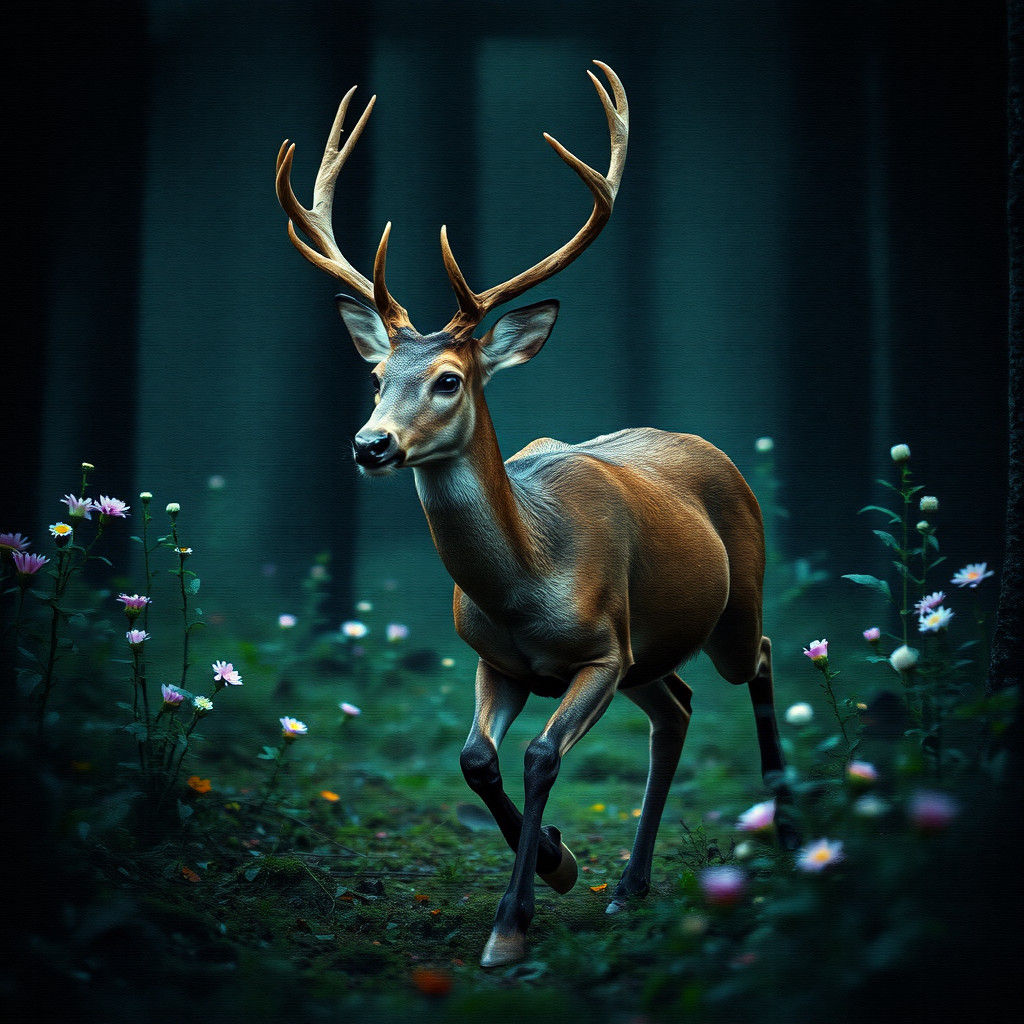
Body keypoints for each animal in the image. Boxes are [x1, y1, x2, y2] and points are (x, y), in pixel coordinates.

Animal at [275, 61, 798, 968]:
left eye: (449, 379)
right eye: (376, 378)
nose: (370, 445)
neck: (529, 582)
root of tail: (707, 445)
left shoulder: (600, 651)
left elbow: (543, 754)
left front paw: (513, 922)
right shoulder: (499, 659)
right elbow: (476, 758)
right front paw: (559, 861)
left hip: (730, 605)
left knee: (758, 658)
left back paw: (788, 830)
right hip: (651, 651)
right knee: (677, 710)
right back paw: (629, 886)